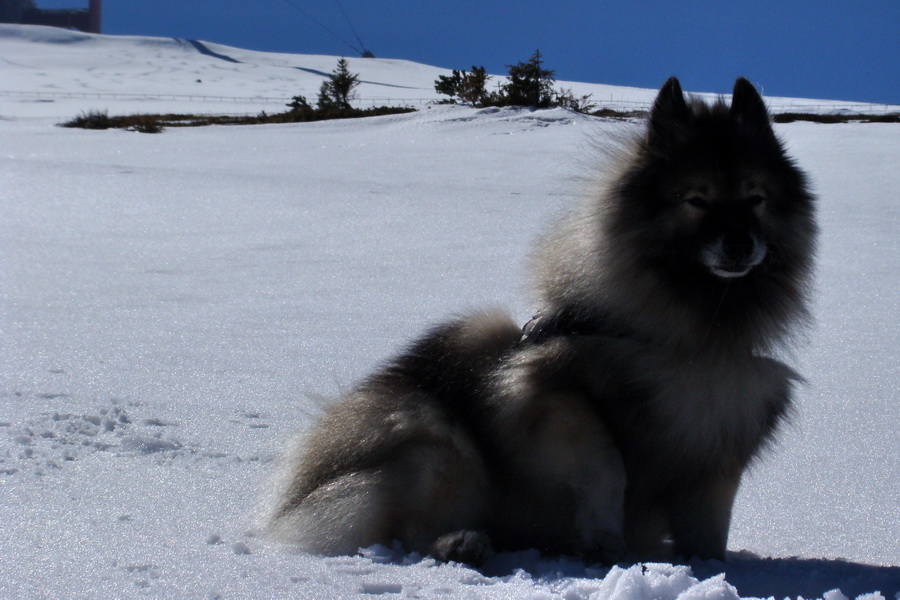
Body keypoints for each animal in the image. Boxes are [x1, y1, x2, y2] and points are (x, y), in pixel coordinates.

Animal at [268, 77, 816, 564]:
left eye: (756, 198)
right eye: (696, 199)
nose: (740, 244)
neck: (683, 339)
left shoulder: (719, 446)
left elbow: (710, 529)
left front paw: (709, 570)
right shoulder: (546, 392)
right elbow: (607, 466)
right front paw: (603, 541)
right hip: (440, 444)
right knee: (412, 530)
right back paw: (459, 545)